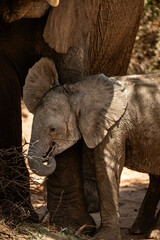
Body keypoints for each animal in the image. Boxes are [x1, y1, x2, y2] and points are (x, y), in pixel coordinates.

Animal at [23, 58, 160, 240]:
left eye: (52, 129)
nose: (48, 156)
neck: (79, 89)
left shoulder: (115, 123)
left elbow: (106, 165)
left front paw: (103, 237)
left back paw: (153, 233)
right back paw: (140, 230)